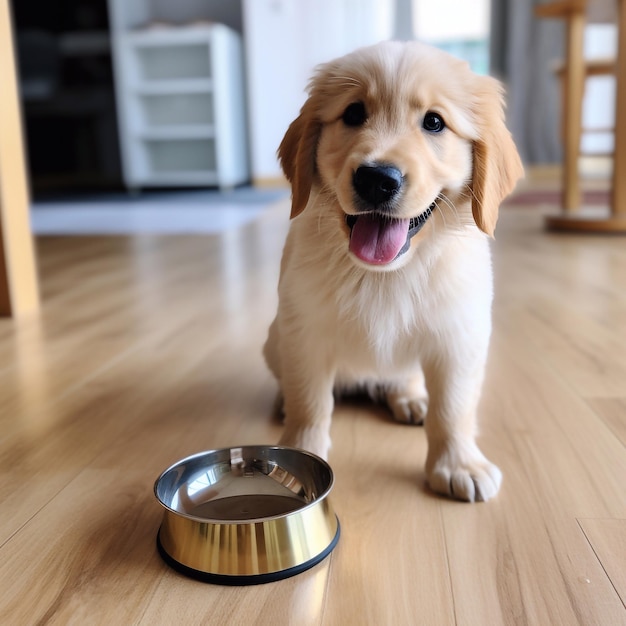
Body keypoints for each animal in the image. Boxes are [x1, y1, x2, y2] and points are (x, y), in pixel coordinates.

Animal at [264, 40, 520, 502]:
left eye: (434, 122)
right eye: (352, 114)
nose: (377, 179)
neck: (383, 272)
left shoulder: (459, 335)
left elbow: (453, 407)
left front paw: (459, 463)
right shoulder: (304, 330)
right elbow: (310, 402)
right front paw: (298, 454)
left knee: (403, 379)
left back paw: (411, 398)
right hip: (276, 338)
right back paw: (281, 402)